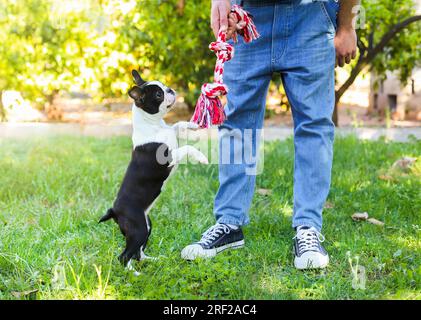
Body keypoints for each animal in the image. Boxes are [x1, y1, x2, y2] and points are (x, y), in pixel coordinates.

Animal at [100, 70, 208, 268]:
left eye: (164, 86)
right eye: (158, 94)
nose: (170, 89)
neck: (155, 125)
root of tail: (114, 211)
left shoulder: (172, 131)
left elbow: (178, 125)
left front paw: (193, 125)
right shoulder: (168, 158)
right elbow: (186, 149)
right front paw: (201, 157)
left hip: (147, 225)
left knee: (137, 252)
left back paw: (153, 260)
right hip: (139, 229)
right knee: (124, 256)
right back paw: (133, 272)